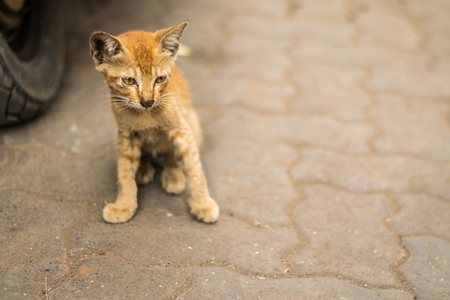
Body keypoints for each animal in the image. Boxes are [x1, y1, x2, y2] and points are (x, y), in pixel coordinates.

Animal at [89, 21, 219, 223]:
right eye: (129, 80)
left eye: (160, 79)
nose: (147, 101)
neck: (146, 116)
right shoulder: (125, 134)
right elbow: (124, 172)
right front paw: (124, 205)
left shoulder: (181, 129)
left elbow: (195, 169)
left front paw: (202, 204)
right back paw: (143, 169)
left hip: (193, 124)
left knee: (173, 155)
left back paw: (174, 176)